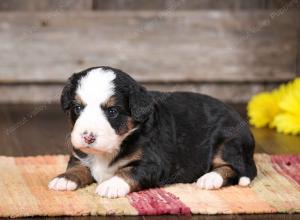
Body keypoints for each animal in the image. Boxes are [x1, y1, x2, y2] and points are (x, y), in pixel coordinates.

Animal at [48, 66, 256, 199]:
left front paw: (111, 184)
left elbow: (129, 171)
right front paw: (65, 179)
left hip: (229, 142)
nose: (87, 137)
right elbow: (77, 166)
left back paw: (209, 178)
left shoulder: (154, 163)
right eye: (77, 108)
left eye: (112, 111)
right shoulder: (80, 153)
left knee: (235, 168)